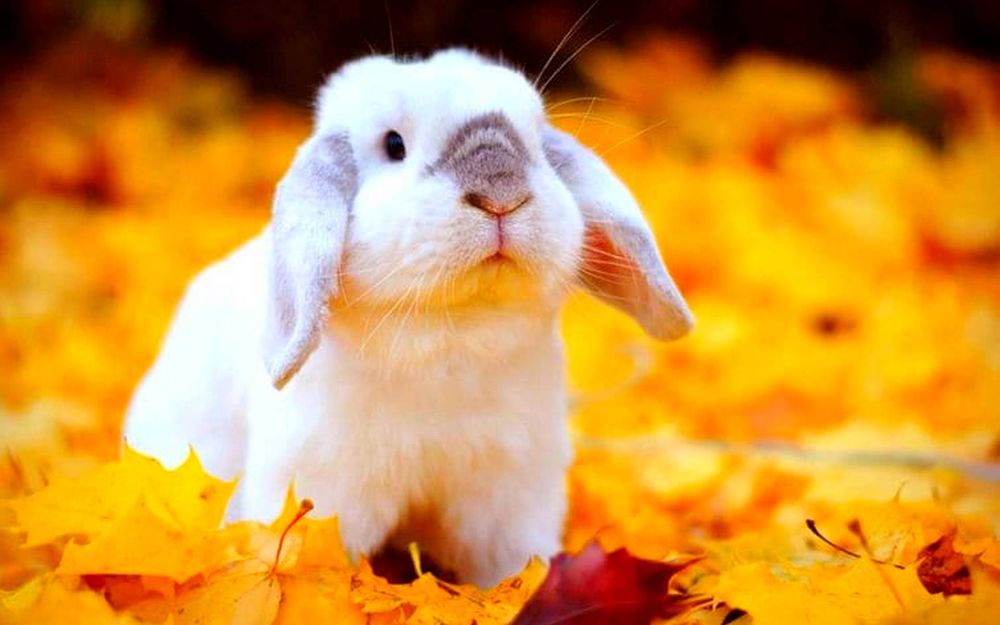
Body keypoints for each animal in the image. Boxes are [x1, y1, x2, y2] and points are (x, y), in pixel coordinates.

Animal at [123, 48, 693, 587]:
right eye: (393, 145)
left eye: (535, 143)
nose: (501, 194)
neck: (453, 335)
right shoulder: (325, 490)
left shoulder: (510, 495)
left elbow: (511, 569)